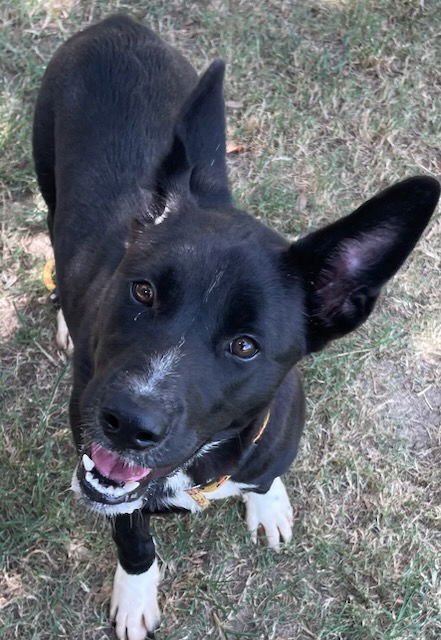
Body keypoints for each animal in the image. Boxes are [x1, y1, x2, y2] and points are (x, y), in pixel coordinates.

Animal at [32, 13, 438, 640]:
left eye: (245, 346)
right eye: (143, 291)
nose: (127, 422)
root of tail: (118, 23)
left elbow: (265, 474)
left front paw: (267, 501)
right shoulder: (106, 473)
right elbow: (132, 537)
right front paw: (136, 593)